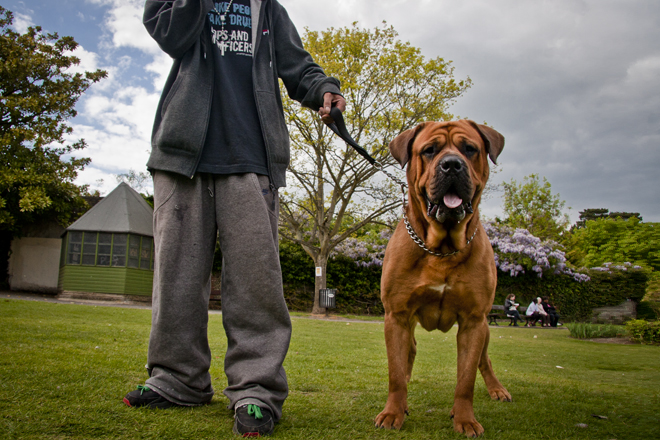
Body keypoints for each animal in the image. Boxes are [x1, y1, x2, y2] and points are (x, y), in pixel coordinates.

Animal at [376, 119, 510, 436]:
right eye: (429, 150)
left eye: (470, 149)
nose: (451, 165)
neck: (442, 248)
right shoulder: (396, 316)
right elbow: (395, 373)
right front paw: (393, 412)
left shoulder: (473, 321)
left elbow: (466, 379)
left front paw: (465, 419)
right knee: (409, 352)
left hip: (485, 329)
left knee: (484, 360)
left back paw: (497, 390)